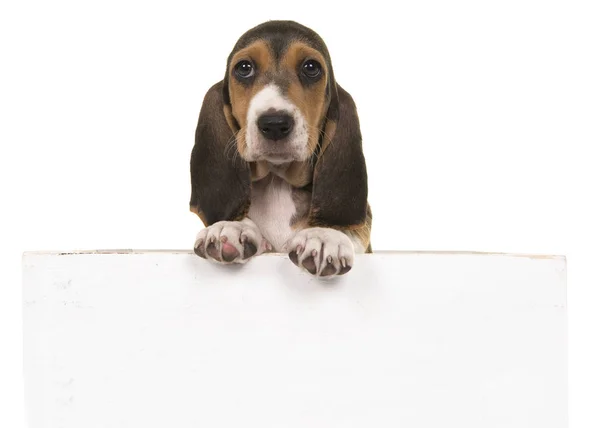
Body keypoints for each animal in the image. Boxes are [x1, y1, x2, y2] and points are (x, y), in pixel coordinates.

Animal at [191, 19, 370, 278]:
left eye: (311, 67)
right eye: (244, 67)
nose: (274, 124)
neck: (277, 180)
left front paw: (325, 235)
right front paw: (230, 226)